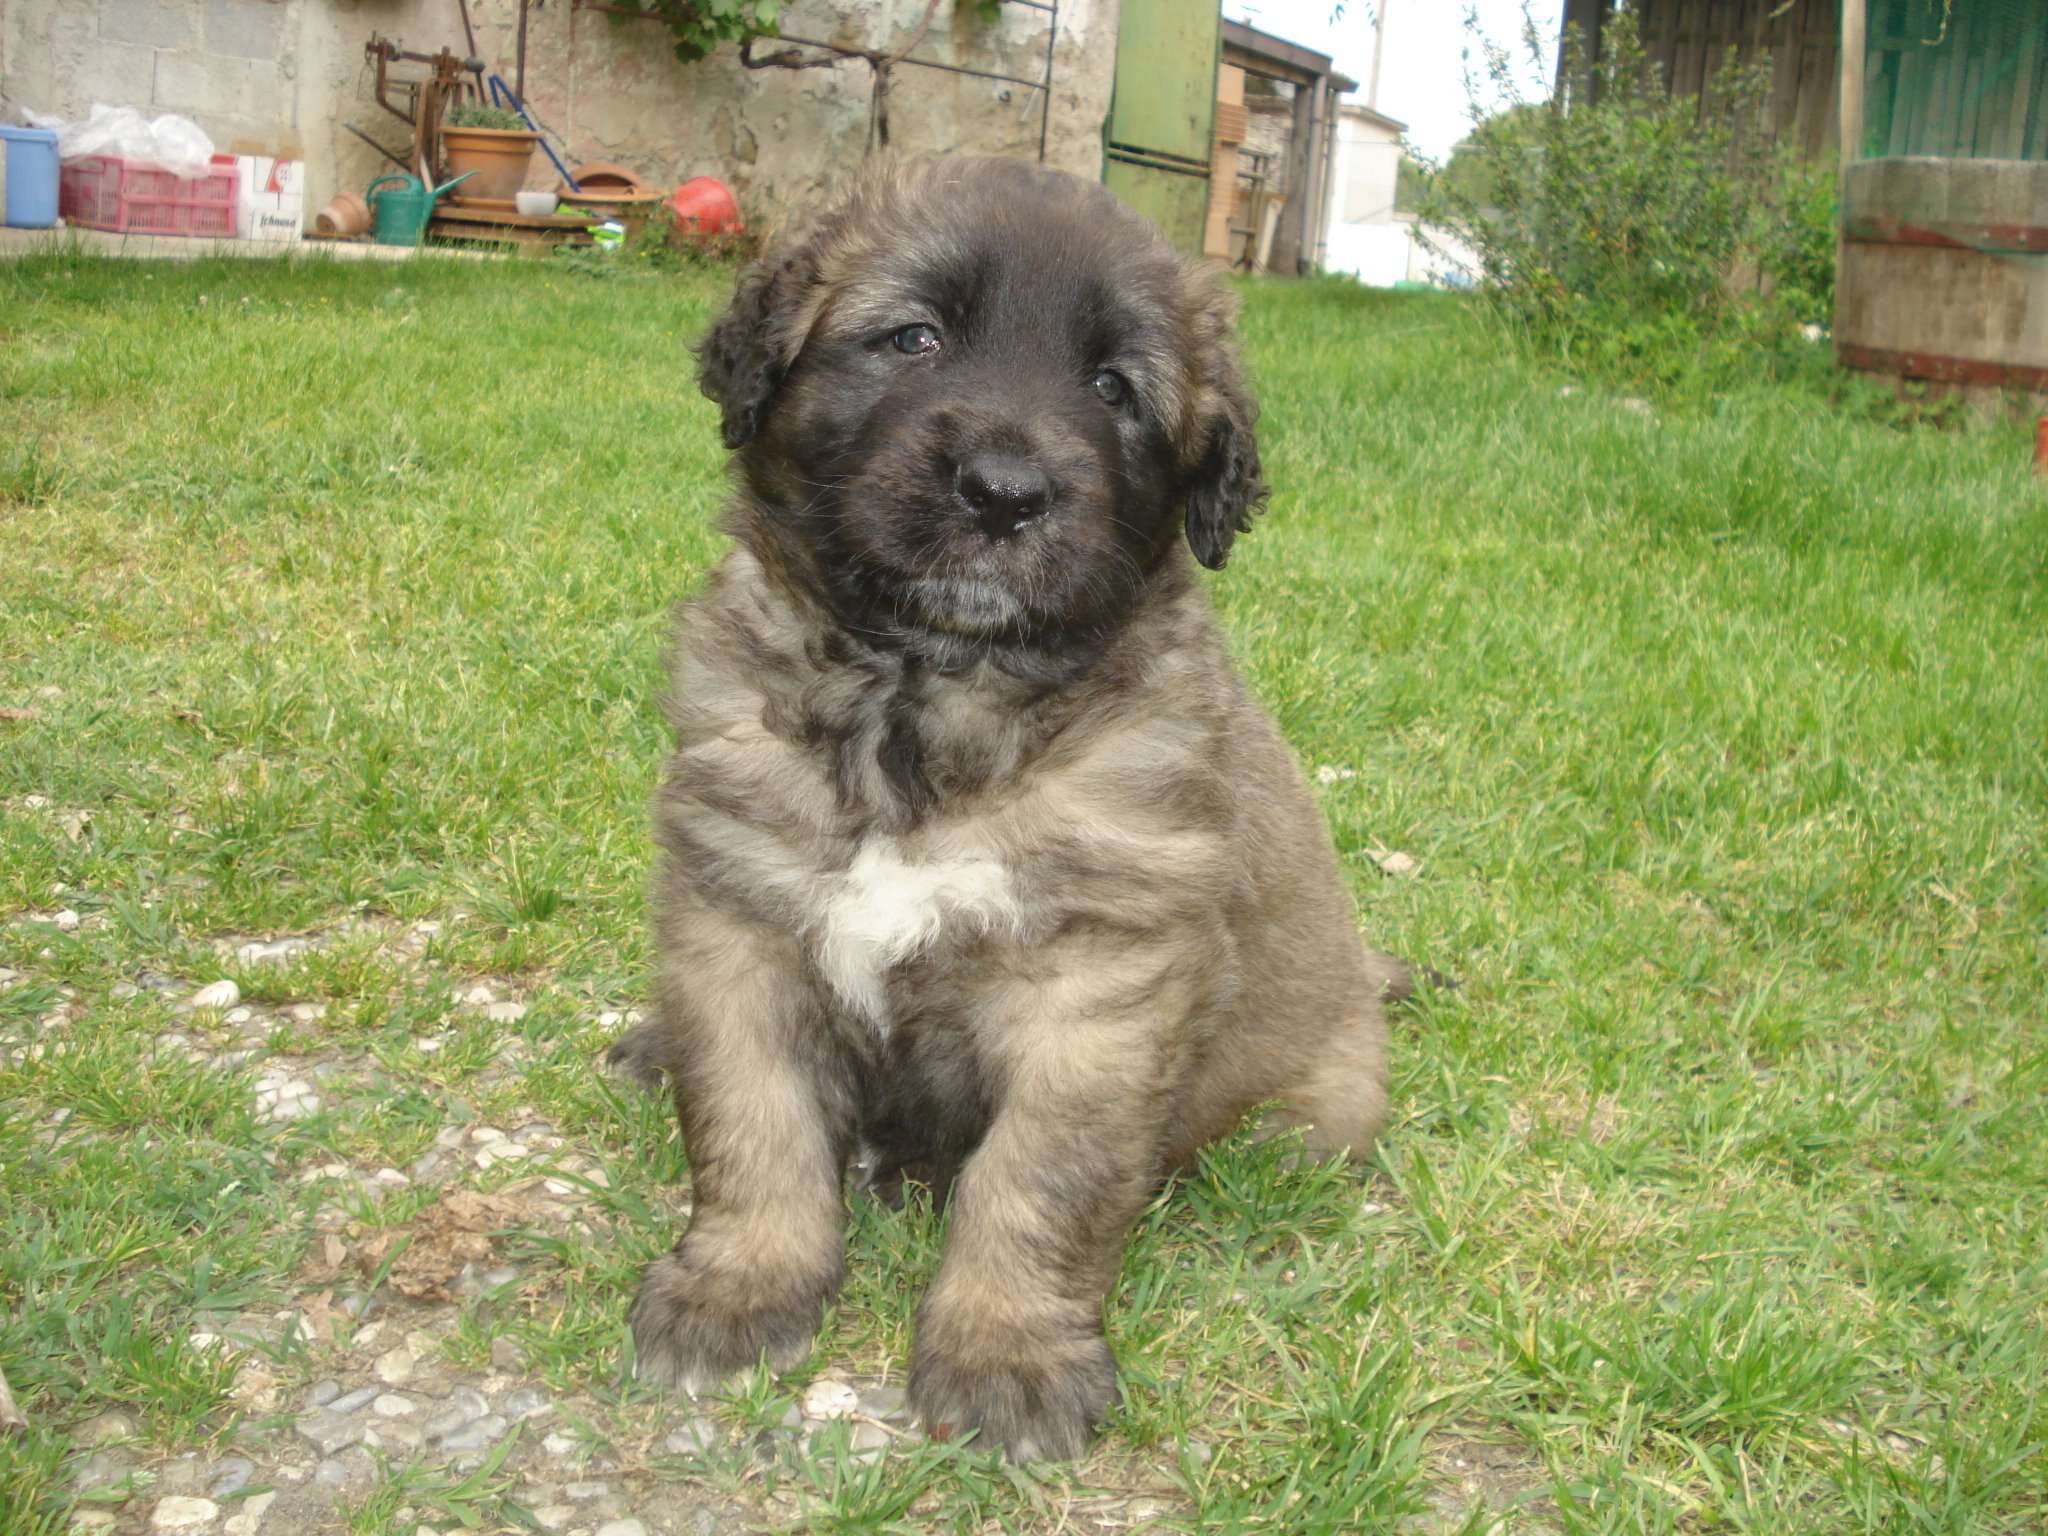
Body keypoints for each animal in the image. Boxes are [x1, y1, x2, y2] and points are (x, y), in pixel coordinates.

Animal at [610, 156, 1409, 1466]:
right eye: (911, 337)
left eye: (1114, 388)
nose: (1003, 493)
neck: (926, 709)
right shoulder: (734, 923)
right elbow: (751, 1128)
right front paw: (738, 1285)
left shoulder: (1097, 988)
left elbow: (1036, 1183)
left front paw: (1006, 1354)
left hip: (1310, 1101)